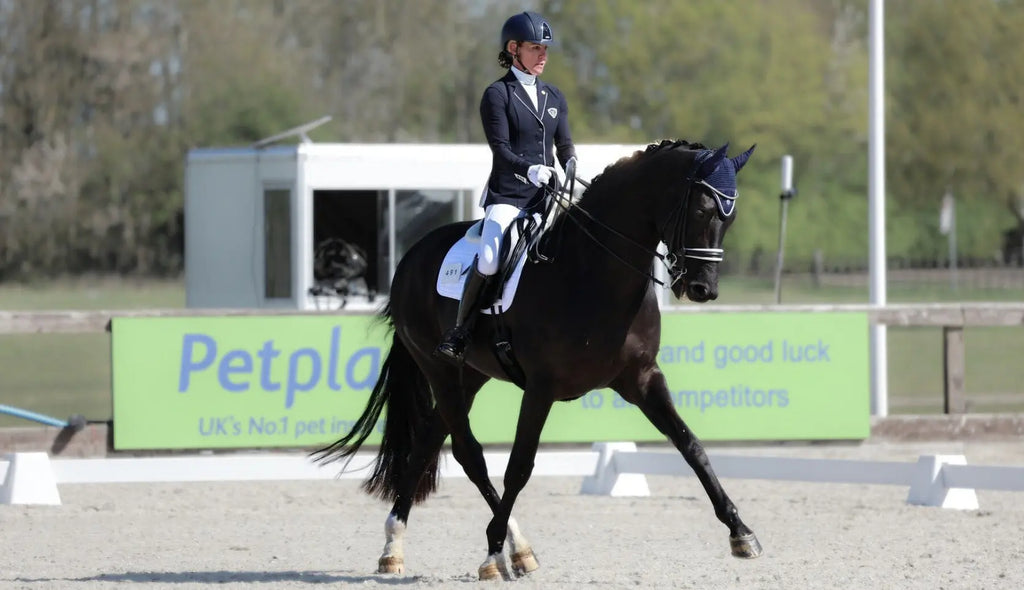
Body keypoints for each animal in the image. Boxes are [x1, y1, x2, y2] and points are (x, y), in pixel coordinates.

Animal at [314, 139, 761, 580]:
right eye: (702, 210)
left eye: (732, 217)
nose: (703, 289)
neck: (594, 273)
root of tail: (412, 255)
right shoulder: (541, 388)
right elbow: (519, 466)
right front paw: (491, 552)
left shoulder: (642, 379)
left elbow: (691, 446)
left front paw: (741, 532)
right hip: (438, 367)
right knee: (469, 454)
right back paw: (501, 549)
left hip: (468, 376)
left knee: (428, 442)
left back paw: (402, 547)